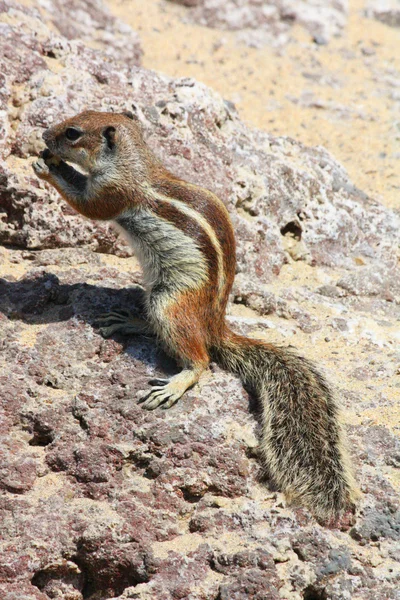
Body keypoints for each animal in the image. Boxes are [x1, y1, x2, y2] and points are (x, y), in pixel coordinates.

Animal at [33, 110, 356, 524]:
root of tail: (216, 326)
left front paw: (47, 167)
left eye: (73, 133)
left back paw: (176, 382)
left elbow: (88, 206)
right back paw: (130, 321)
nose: (44, 134)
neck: (133, 162)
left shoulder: (113, 192)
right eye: (75, 116)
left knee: (201, 360)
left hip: (171, 303)